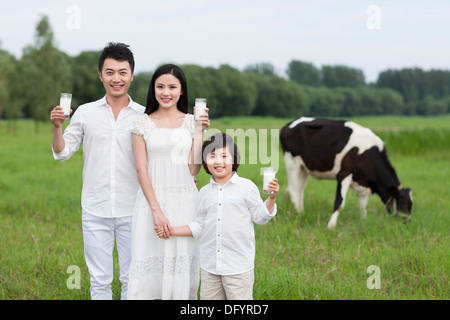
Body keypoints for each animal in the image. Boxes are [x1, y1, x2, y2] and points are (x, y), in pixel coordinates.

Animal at [280, 116, 414, 229]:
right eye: (403, 204)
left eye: (410, 204)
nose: (406, 222)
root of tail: (288, 124)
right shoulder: (344, 174)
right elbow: (339, 202)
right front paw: (330, 226)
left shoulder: (362, 182)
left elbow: (363, 205)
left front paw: (363, 221)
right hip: (292, 163)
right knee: (293, 191)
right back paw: (299, 214)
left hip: (304, 168)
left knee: (299, 191)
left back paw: (301, 212)